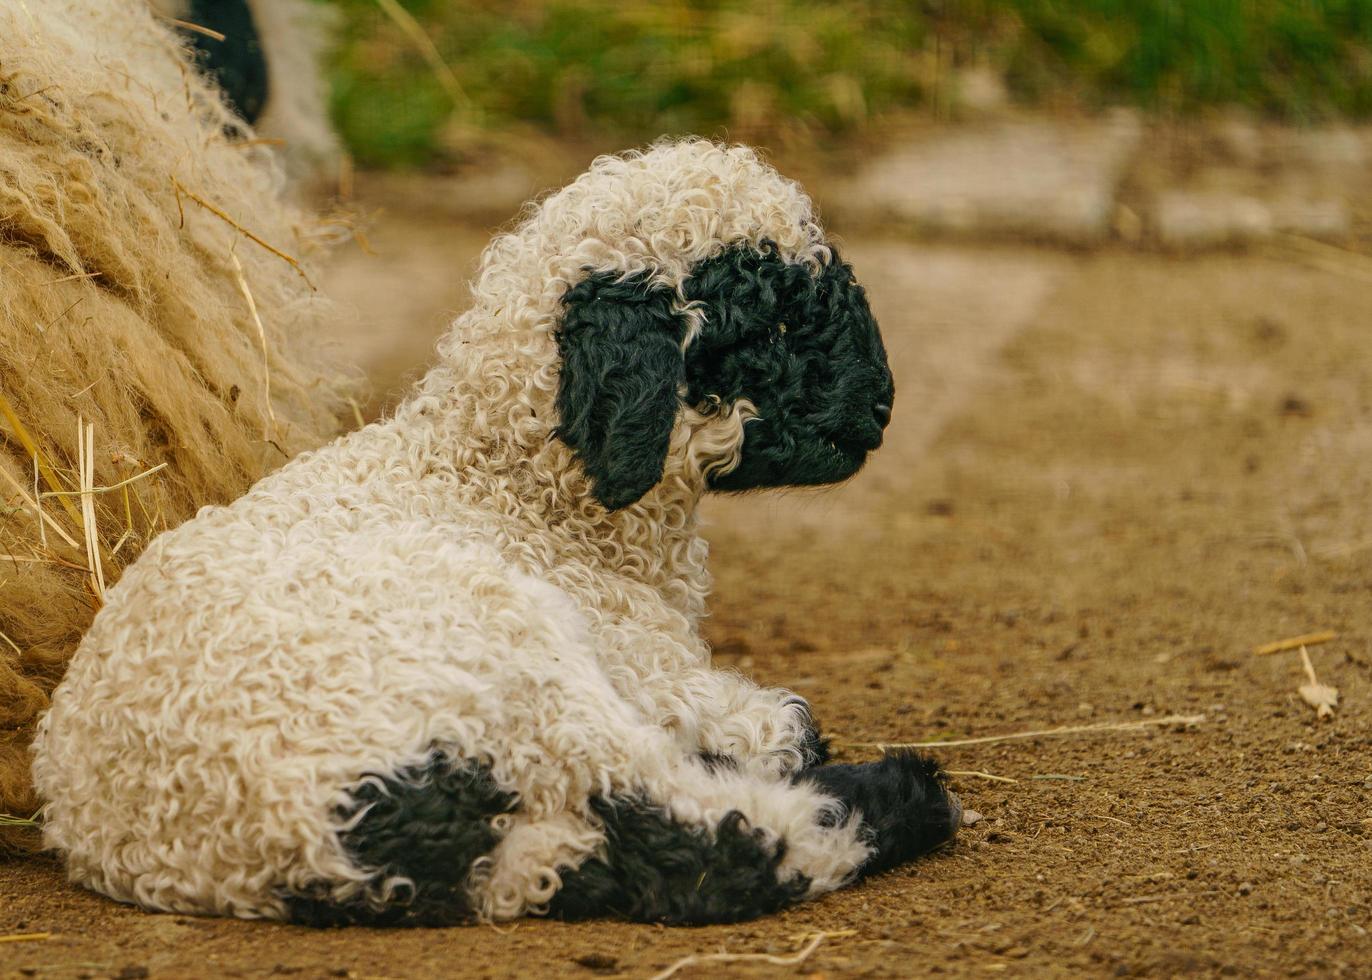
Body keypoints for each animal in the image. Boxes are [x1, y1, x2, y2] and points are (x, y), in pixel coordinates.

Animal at [29, 139, 954, 922]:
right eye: (769, 323)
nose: (880, 406)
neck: (510, 494)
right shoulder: (634, 661)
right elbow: (765, 723)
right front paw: (775, 731)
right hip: (510, 660)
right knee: (712, 834)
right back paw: (909, 791)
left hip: (522, 805)